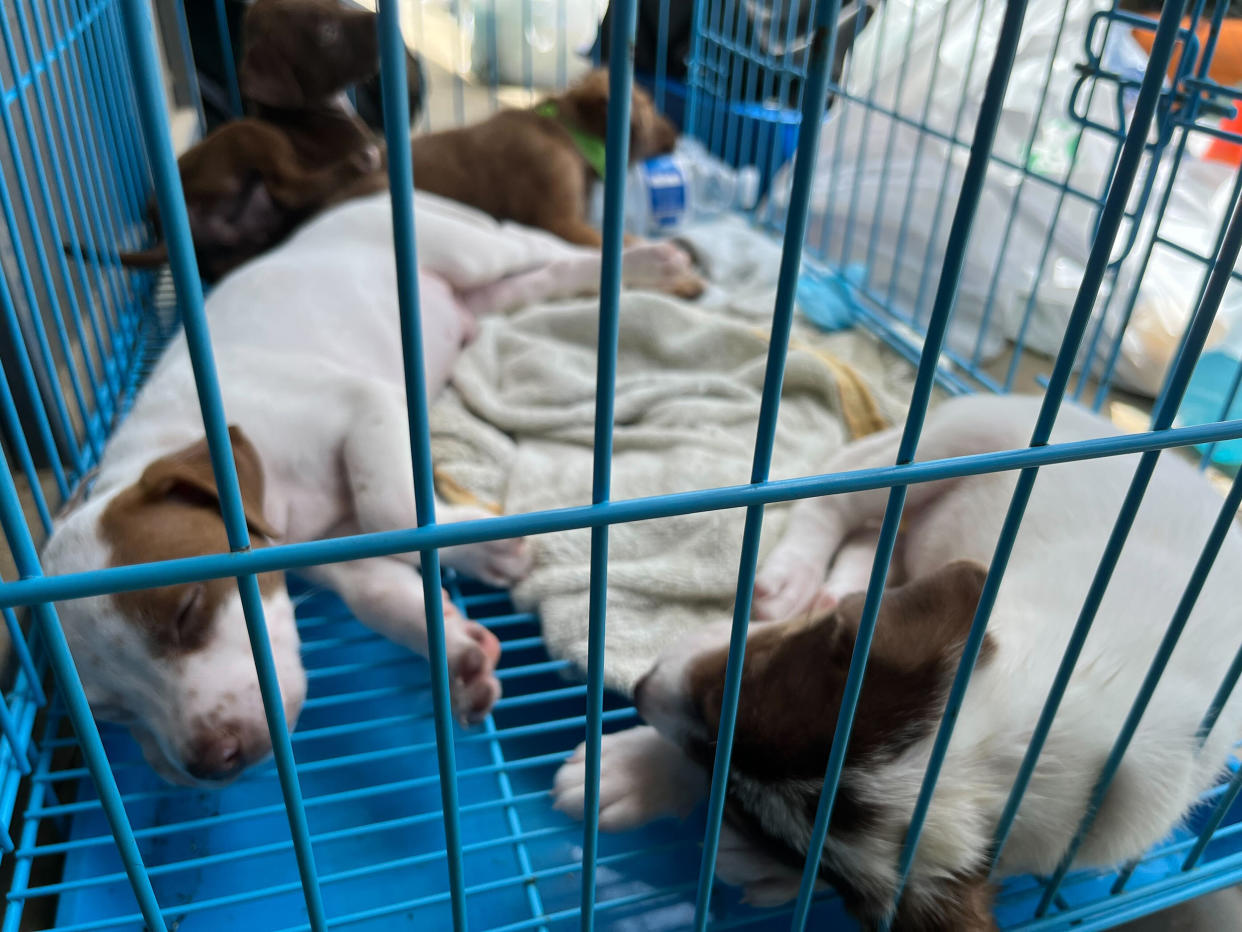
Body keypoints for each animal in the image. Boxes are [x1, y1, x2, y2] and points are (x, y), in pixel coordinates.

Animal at [41, 191, 700, 790]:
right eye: (111, 711)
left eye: (188, 610)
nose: (208, 764)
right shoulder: (317, 553)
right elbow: (379, 595)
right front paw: (456, 651)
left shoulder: (364, 405)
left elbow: (390, 509)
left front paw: (481, 545)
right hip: (474, 294)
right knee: (529, 286)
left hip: (470, 248)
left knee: (544, 247)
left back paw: (653, 263)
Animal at [553, 395, 1242, 932]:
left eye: (752, 823)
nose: (641, 686)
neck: (1036, 740)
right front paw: (630, 768)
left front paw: (765, 870)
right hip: (955, 439)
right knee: (840, 505)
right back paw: (797, 577)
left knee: (879, 539)